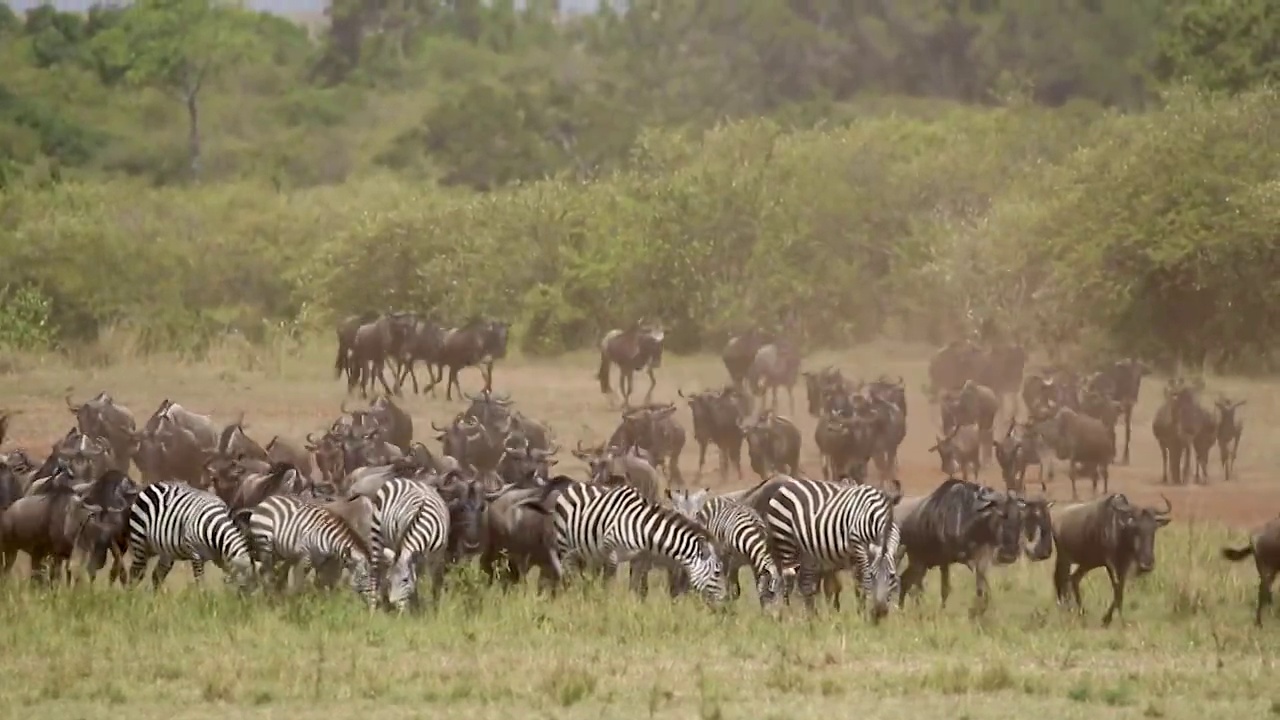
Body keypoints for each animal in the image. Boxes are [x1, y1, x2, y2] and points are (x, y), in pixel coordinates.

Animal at [126, 476, 257, 589]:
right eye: (244, 588)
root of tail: (155, 484)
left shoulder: (220, 558)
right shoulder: (196, 554)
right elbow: (200, 583)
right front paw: (203, 601)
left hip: (166, 551)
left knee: (156, 576)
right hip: (140, 543)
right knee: (135, 573)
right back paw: (131, 598)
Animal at [235, 491, 376, 599]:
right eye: (365, 576)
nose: (373, 603)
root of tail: (266, 501)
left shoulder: (323, 562)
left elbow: (321, 584)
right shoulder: (307, 557)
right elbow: (300, 582)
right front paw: (296, 602)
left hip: (278, 551)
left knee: (269, 572)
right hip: (265, 544)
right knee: (267, 573)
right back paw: (269, 595)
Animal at [371, 474, 450, 607]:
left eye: (405, 580)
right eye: (390, 579)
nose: (394, 603)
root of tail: (404, 479)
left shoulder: (437, 556)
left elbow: (435, 585)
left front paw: (435, 608)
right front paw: (414, 607)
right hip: (376, 533)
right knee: (376, 570)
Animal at [535, 474, 727, 602]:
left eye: (697, 513)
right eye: (717, 572)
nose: (724, 600)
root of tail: (576, 484)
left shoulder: (642, 559)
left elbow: (640, 587)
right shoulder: (615, 556)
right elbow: (615, 584)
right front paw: (608, 604)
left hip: (590, 551)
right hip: (566, 545)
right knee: (569, 576)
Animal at [747, 471, 901, 617]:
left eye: (892, 576)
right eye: (874, 576)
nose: (880, 612)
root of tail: (787, 484)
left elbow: (853, 586)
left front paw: (860, 610)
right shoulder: (857, 547)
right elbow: (863, 581)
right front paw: (864, 612)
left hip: (807, 553)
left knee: (804, 584)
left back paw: (811, 615)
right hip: (785, 541)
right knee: (788, 580)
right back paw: (791, 614)